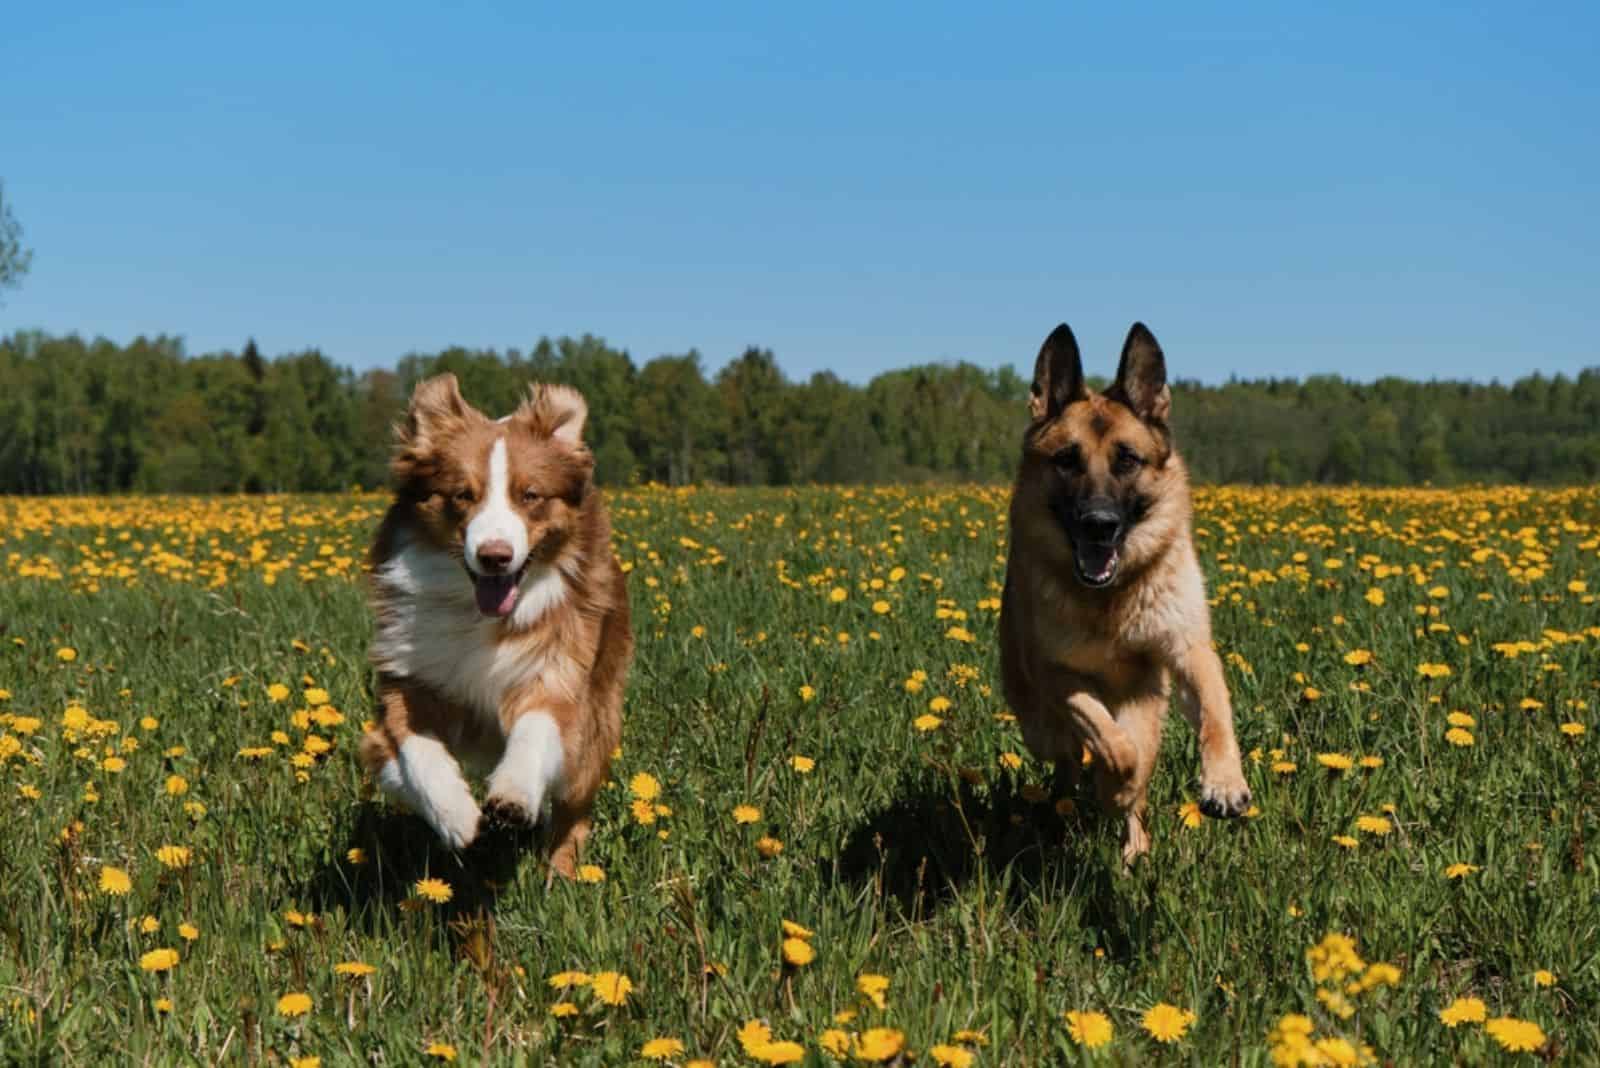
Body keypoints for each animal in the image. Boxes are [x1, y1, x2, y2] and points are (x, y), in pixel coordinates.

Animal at [361, 374, 630, 876]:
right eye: (462, 495)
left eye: (531, 496)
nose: (494, 556)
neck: (478, 618)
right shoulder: (406, 682)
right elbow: (414, 752)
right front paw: (455, 815)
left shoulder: (560, 674)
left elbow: (536, 730)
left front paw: (514, 795)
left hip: (601, 714)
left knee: (574, 810)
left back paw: (562, 874)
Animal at [998, 321, 1248, 863]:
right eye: (1067, 460)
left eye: (1128, 460)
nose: (1099, 524)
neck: (1111, 600)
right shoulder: (1057, 674)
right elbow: (1110, 743)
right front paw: (1114, 784)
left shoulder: (1189, 651)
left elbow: (1215, 712)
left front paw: (1224, 783)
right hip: (1039, 724)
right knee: (1070, 756)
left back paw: (1134, 843)